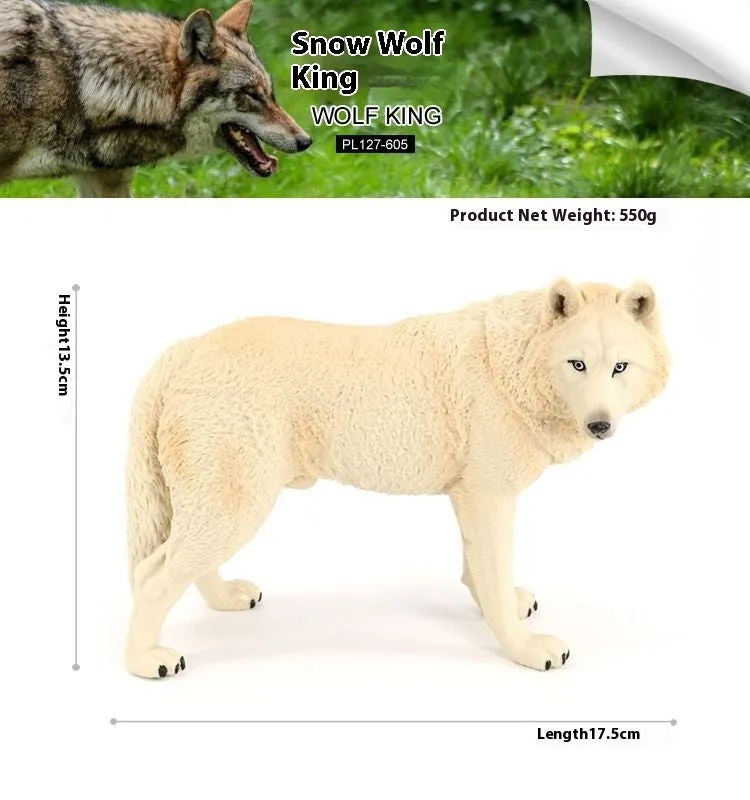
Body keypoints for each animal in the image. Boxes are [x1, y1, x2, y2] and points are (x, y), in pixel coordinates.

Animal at [124, 279, 670, 677]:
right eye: (577, 364)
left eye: (621, 367)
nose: (600, 425)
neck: (510, 366)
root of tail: (181, 351)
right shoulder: (488, 494)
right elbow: (493, 575)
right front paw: (526, 648)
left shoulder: (470, 494)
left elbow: (479, 570)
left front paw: (502, 605)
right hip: (237, 496)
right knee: (152, 575)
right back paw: (146, 661)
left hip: (219, 494)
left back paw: (226, 600)